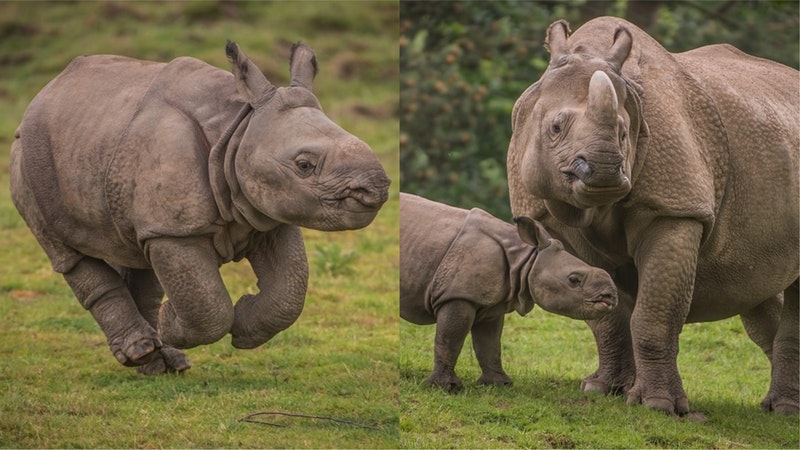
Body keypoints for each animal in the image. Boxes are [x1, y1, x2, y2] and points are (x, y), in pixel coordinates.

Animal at [9, 41, 390, 374]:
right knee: (69, 254)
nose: (376, 189)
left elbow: (290, 292)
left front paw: (243, 325)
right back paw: (144, 350)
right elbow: (208, 306)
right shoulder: (174, 229)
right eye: (304, 165)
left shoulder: (269, 213)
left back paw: (162, 361)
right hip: (28, 158)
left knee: (136, 253)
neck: (237, 127)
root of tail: (43, 92)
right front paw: (174, 321)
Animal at [400, 193, 617, 390]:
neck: (525, 259)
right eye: (573, 280)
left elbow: (490, 343)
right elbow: (449, 338)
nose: (610, 296)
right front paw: (446, 387)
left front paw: (499, 384)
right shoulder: (457, 295)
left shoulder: (489, 300)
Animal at [507, 17, 799, 414]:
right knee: (758, 291)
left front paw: (659, 405)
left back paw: (784, 411)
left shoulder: (674, 209)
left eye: (624, 133)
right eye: (555, 128)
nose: (604, 169)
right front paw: (603, 389)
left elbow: (655, 313)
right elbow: (605, 313)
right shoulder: (548, 215)